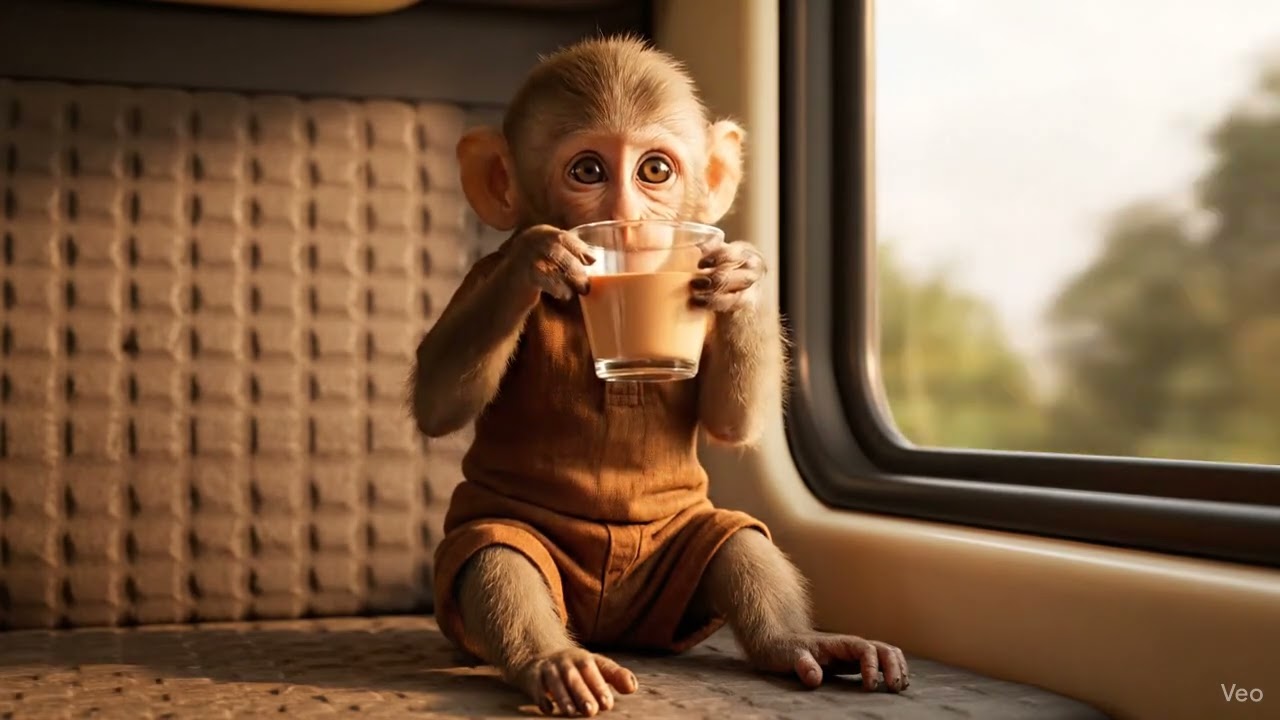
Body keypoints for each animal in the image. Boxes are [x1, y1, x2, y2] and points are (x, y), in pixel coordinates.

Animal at [410, 34, 909, 717]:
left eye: (654, 172)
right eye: (588, 171)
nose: (631, 223)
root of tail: (610, 629)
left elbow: (731, 420)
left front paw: (742, 275)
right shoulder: (477, 280)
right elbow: (441, 400)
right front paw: (537, 258)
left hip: (683, 560)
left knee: (738, 543)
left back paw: (798, 642)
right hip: (509, 546)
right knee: (497, 556)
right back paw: (556, 662)